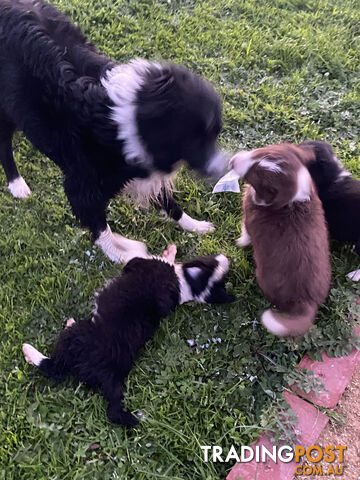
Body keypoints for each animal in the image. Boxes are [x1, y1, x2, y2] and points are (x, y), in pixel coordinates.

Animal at [0, 0, 225, 262]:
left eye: (213, 136)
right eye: (195, 139)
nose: (222, 168)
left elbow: (169, 203)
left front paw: (195, 226)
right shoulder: (82, 185)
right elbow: (101, 230)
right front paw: (122, 254)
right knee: (4, 145)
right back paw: (17, 184)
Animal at [23, 246, 235, 426]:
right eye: (211, 262)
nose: (227, 258)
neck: (186, 285)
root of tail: (108, 373)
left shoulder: (140, 263)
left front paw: (169, 251)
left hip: (72, 340)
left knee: (52, 366)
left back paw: (32, 349)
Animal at [232, 144, 330, 336]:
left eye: (257, 175)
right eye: (260, 150)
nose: (232, 160)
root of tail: (308, 303)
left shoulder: (248, 219)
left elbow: (246, 233)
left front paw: (239, 242)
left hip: (263, 278)